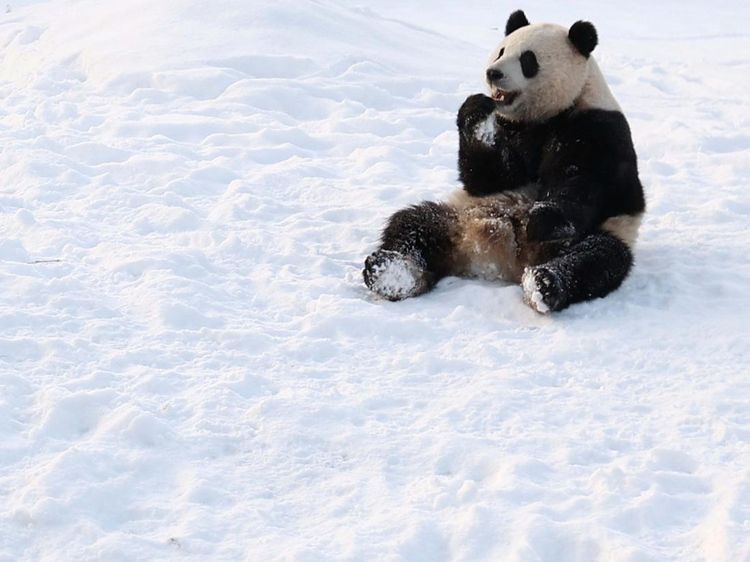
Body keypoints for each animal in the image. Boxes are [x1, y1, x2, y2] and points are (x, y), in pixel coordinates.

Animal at [363, 10, 646, 313]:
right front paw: (476, 114)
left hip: (604, 232)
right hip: (458, 215)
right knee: (413, 224)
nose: (493, 73)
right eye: (501, 50)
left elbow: (584, 182)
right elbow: (490, 177)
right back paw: (390, 272)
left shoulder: (598, 126)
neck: (546, 114)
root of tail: (501, 260)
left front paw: (541, 218)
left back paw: (544, 284)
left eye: (528, 60)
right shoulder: (511, 128)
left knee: (596, 259)